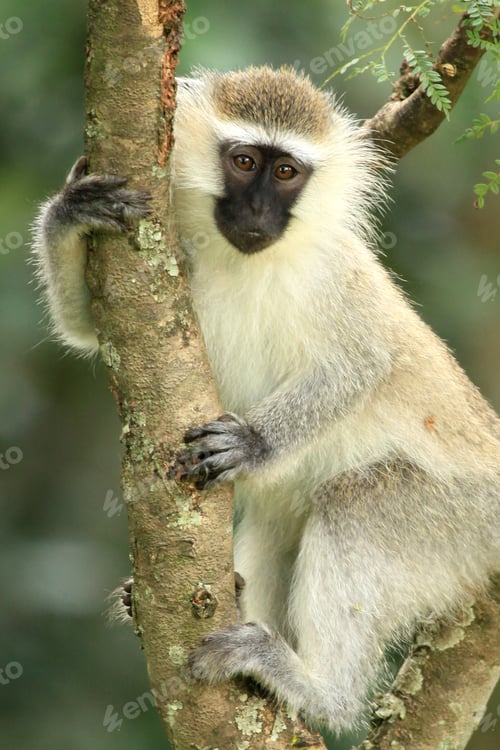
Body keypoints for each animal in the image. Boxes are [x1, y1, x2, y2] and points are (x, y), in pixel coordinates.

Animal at [32, 66, 500, 734]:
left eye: (286, 173)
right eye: (245, 161)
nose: (257, 211)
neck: (246, 260)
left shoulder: (336, 277)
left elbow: (361, 365)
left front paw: (252, 442)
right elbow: (86, 330)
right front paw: (72, 210)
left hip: (465, 518)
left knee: (355, 504)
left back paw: (320, 691)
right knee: (278, 520)